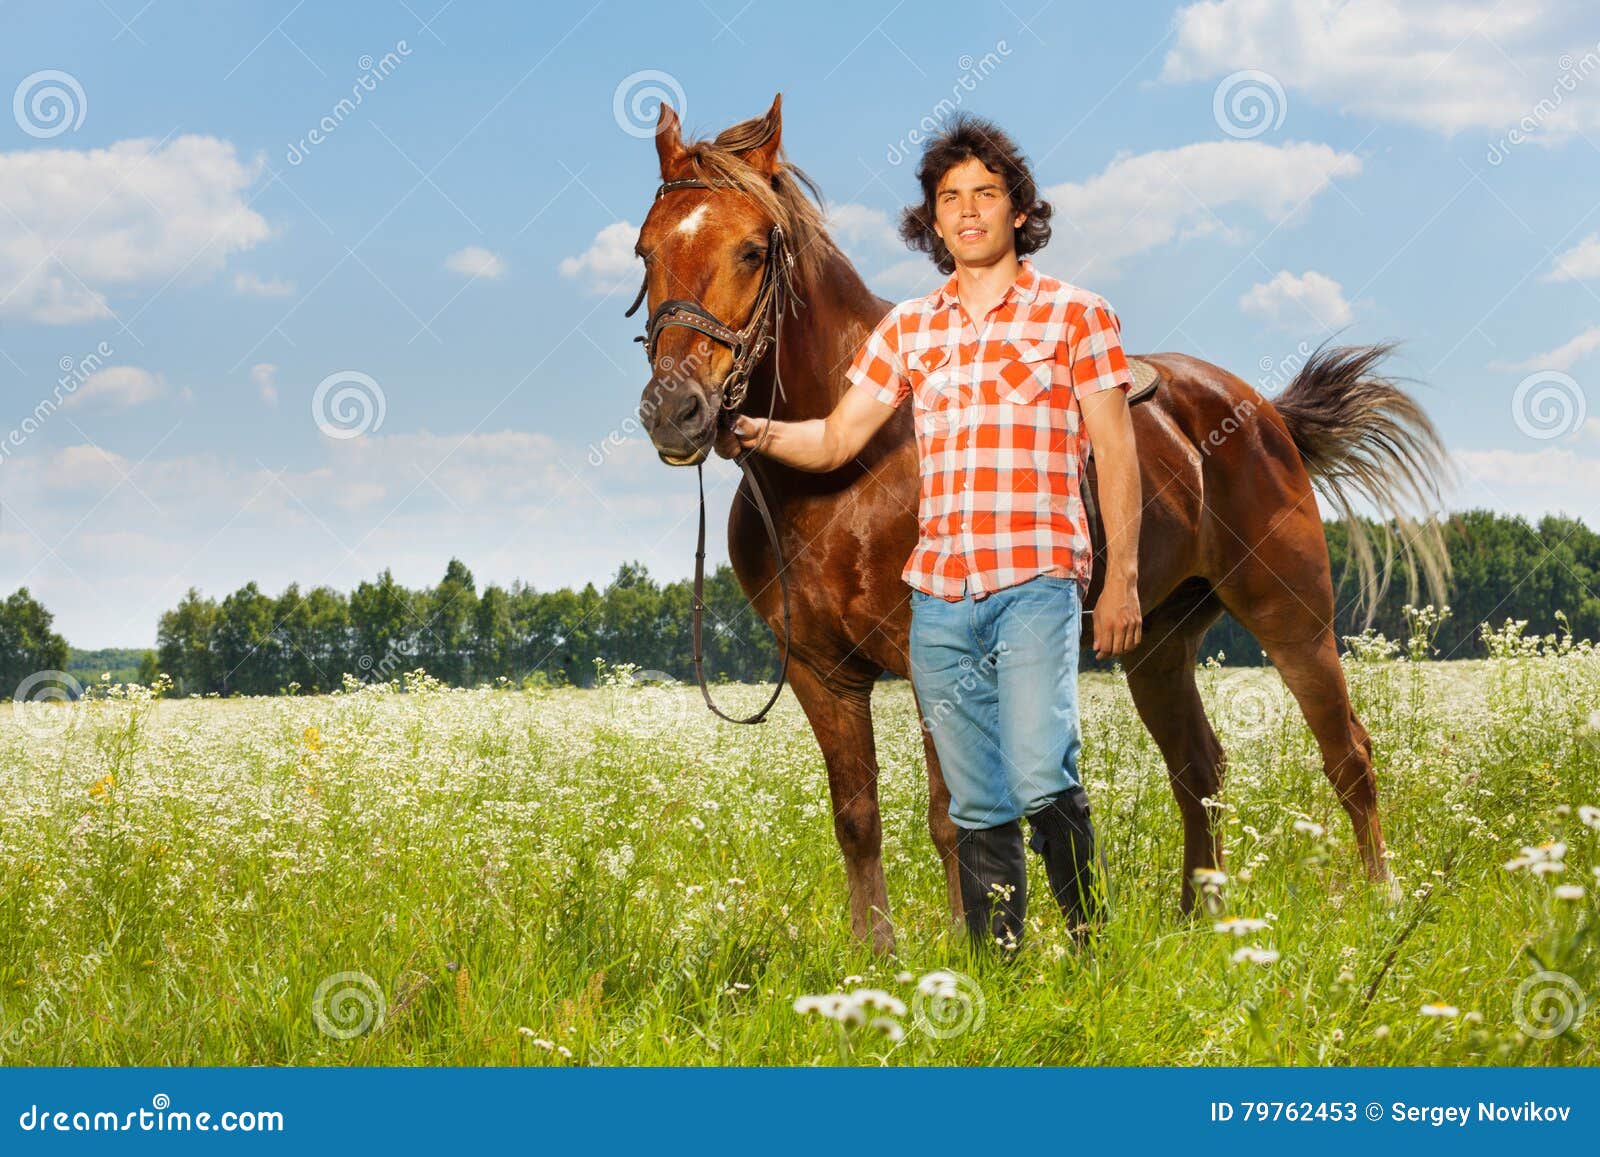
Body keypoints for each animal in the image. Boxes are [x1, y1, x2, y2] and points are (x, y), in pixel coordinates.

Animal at [633, 95, 1452, 953]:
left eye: (753, 250)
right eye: (645, 251)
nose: (675, 410)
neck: (838, 476)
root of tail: (1263, 413)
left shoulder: (934, 661)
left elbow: (951, 817)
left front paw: (965, 952)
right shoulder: (820, 674)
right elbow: (857, 817)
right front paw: (873, 957)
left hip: (1293, 616)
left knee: (1347, 752)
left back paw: (1382, 898)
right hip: (1159, 646)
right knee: (1198, 768)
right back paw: (1198, 916)